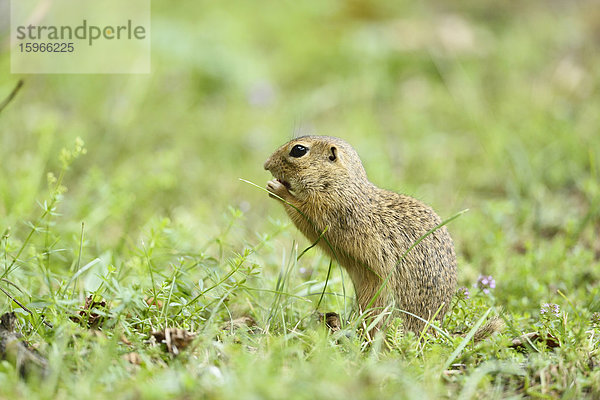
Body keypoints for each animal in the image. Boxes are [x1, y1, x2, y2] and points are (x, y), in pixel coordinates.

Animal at [264, 136, 458, 332]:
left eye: (299, 150)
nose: (266, 164)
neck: (341, 185)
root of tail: (431, 328)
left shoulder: (327, 213)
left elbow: (302, 215)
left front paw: (277, 189)